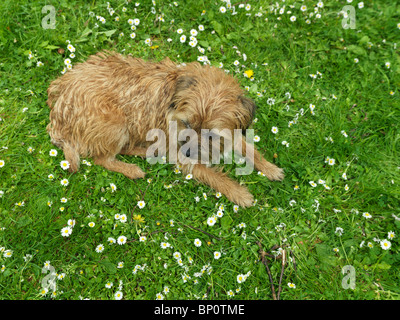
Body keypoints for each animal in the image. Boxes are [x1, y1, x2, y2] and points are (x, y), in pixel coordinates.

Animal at [47, 51, 282, 208]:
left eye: (211, 135)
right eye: (187, 124)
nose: (188, 151)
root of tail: (57, 116)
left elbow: (248, 148)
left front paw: (270, 168)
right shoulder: (178, 150)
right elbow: (211, 174)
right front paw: (239, 193)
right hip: (117, 122)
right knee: (102, 158)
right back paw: (132, 169)